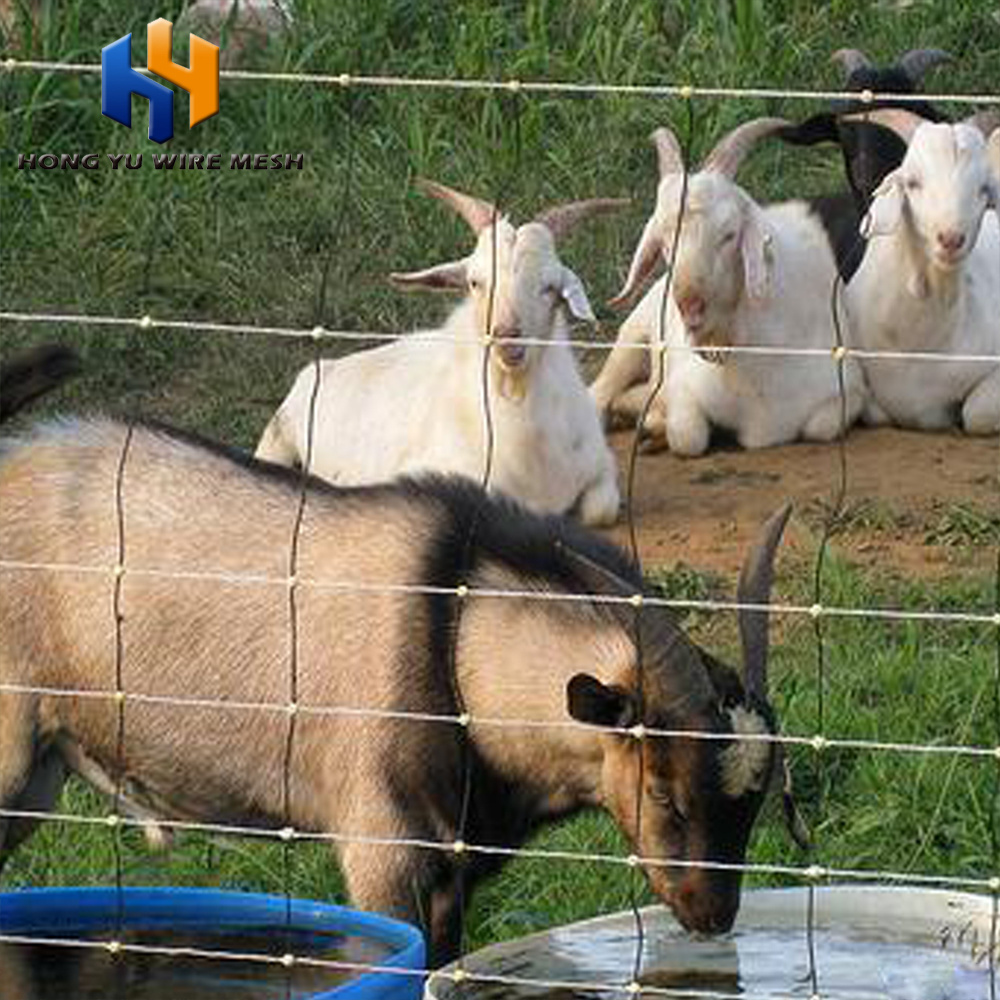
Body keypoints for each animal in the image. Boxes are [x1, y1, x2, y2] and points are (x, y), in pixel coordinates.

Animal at [254, 180, 620, 524]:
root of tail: (321, 368)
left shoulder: (600, 464)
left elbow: (601, 510)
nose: (506, 337)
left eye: (549, 287)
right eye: (475, 282)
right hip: (277, 437)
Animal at [592, 117, 868, 458]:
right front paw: (653, 423)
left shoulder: (847, 389)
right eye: (664, 242)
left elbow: (820, 427)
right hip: (634, 335)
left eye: (729, 234)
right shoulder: (684, 387)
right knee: (600, 392)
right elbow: (688, 437)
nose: (691, 309)